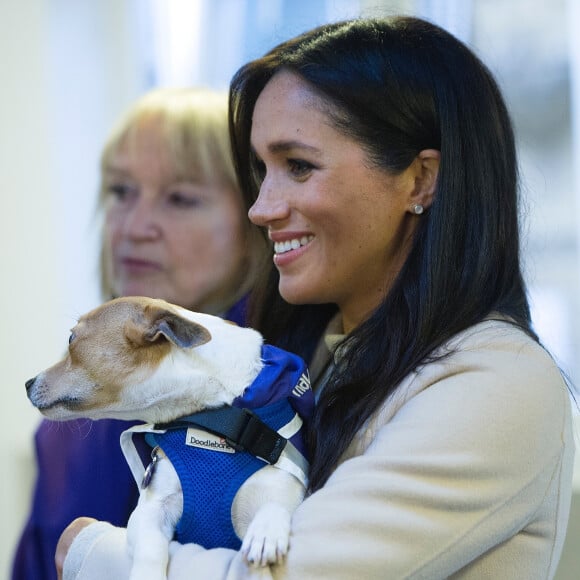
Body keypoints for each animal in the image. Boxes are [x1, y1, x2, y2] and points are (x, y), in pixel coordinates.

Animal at [26, 296, 312, 576]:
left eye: (71, 340)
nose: (27, 383)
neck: (214, 419)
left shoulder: (282, 488)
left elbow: (276, 505)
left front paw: (265, 533)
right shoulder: (150, 510)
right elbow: (151, 547)